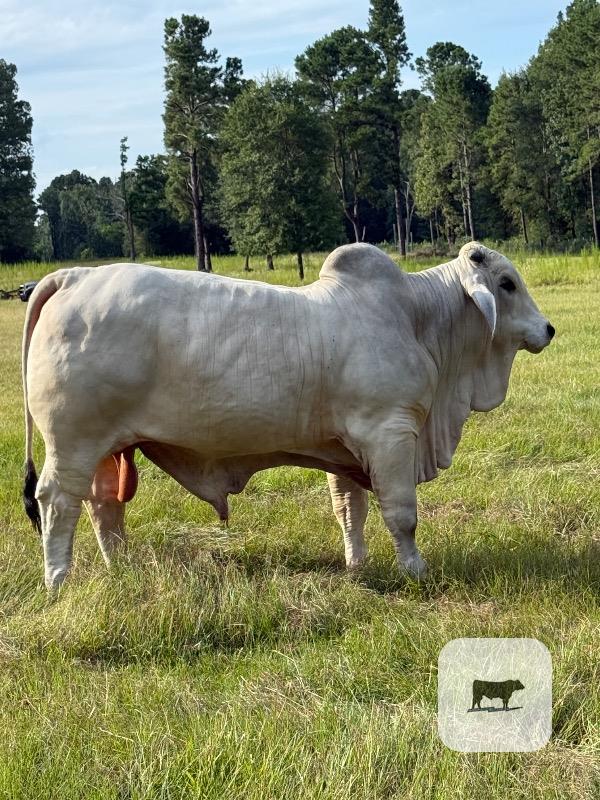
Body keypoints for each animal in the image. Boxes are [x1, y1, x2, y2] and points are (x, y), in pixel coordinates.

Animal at [22, 242, 554, 589]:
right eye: (506, 283)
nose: (548, 329)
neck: (420, 321)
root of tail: (72, 276)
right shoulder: (390, 432)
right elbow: (402, 514)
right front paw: (415, 571)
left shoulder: (346, 449)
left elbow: (350, 509)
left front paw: (357, 566)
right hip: (72, 442)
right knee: (58, 502)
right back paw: (58, 581)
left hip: (107, 446)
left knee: (102, 506)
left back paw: (120, 570)